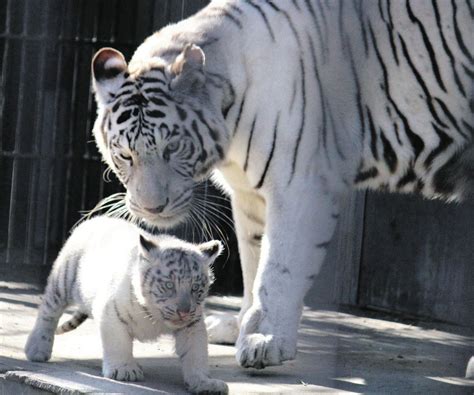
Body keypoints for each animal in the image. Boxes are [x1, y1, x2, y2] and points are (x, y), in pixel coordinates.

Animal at [24, 218, 228, 394]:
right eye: (169, 285)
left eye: (196, 288)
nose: (184, 312)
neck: (153, 315)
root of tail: (96, 219)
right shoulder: (111, 312)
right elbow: (118, 342)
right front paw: (123, 370)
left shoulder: (192, 324)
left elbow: (196, 353)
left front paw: (204, 382)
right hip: (63, 279)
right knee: (49, 311)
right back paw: (37, 349)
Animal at [88, 0, 470, 372]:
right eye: (125, 155)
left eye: (171, 148)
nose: (151, 208)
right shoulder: (249, 196)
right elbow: (253, 262)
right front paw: (239, 325)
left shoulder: (301, 182)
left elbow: (278, 268)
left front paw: (264, 341)